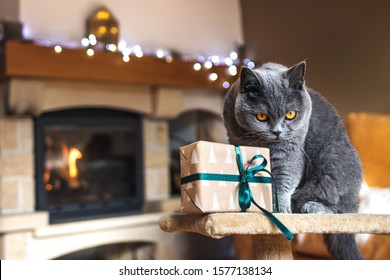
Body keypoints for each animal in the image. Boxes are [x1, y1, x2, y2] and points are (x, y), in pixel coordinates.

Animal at [224, 61, 364, 260]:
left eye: (290, 115)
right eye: (261, 116)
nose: (277, 132)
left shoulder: (290, 151)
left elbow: (284, 178)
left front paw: (281, 209)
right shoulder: (235, 137)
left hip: (331, 167)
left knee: (341, 211)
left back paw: (311, 207)